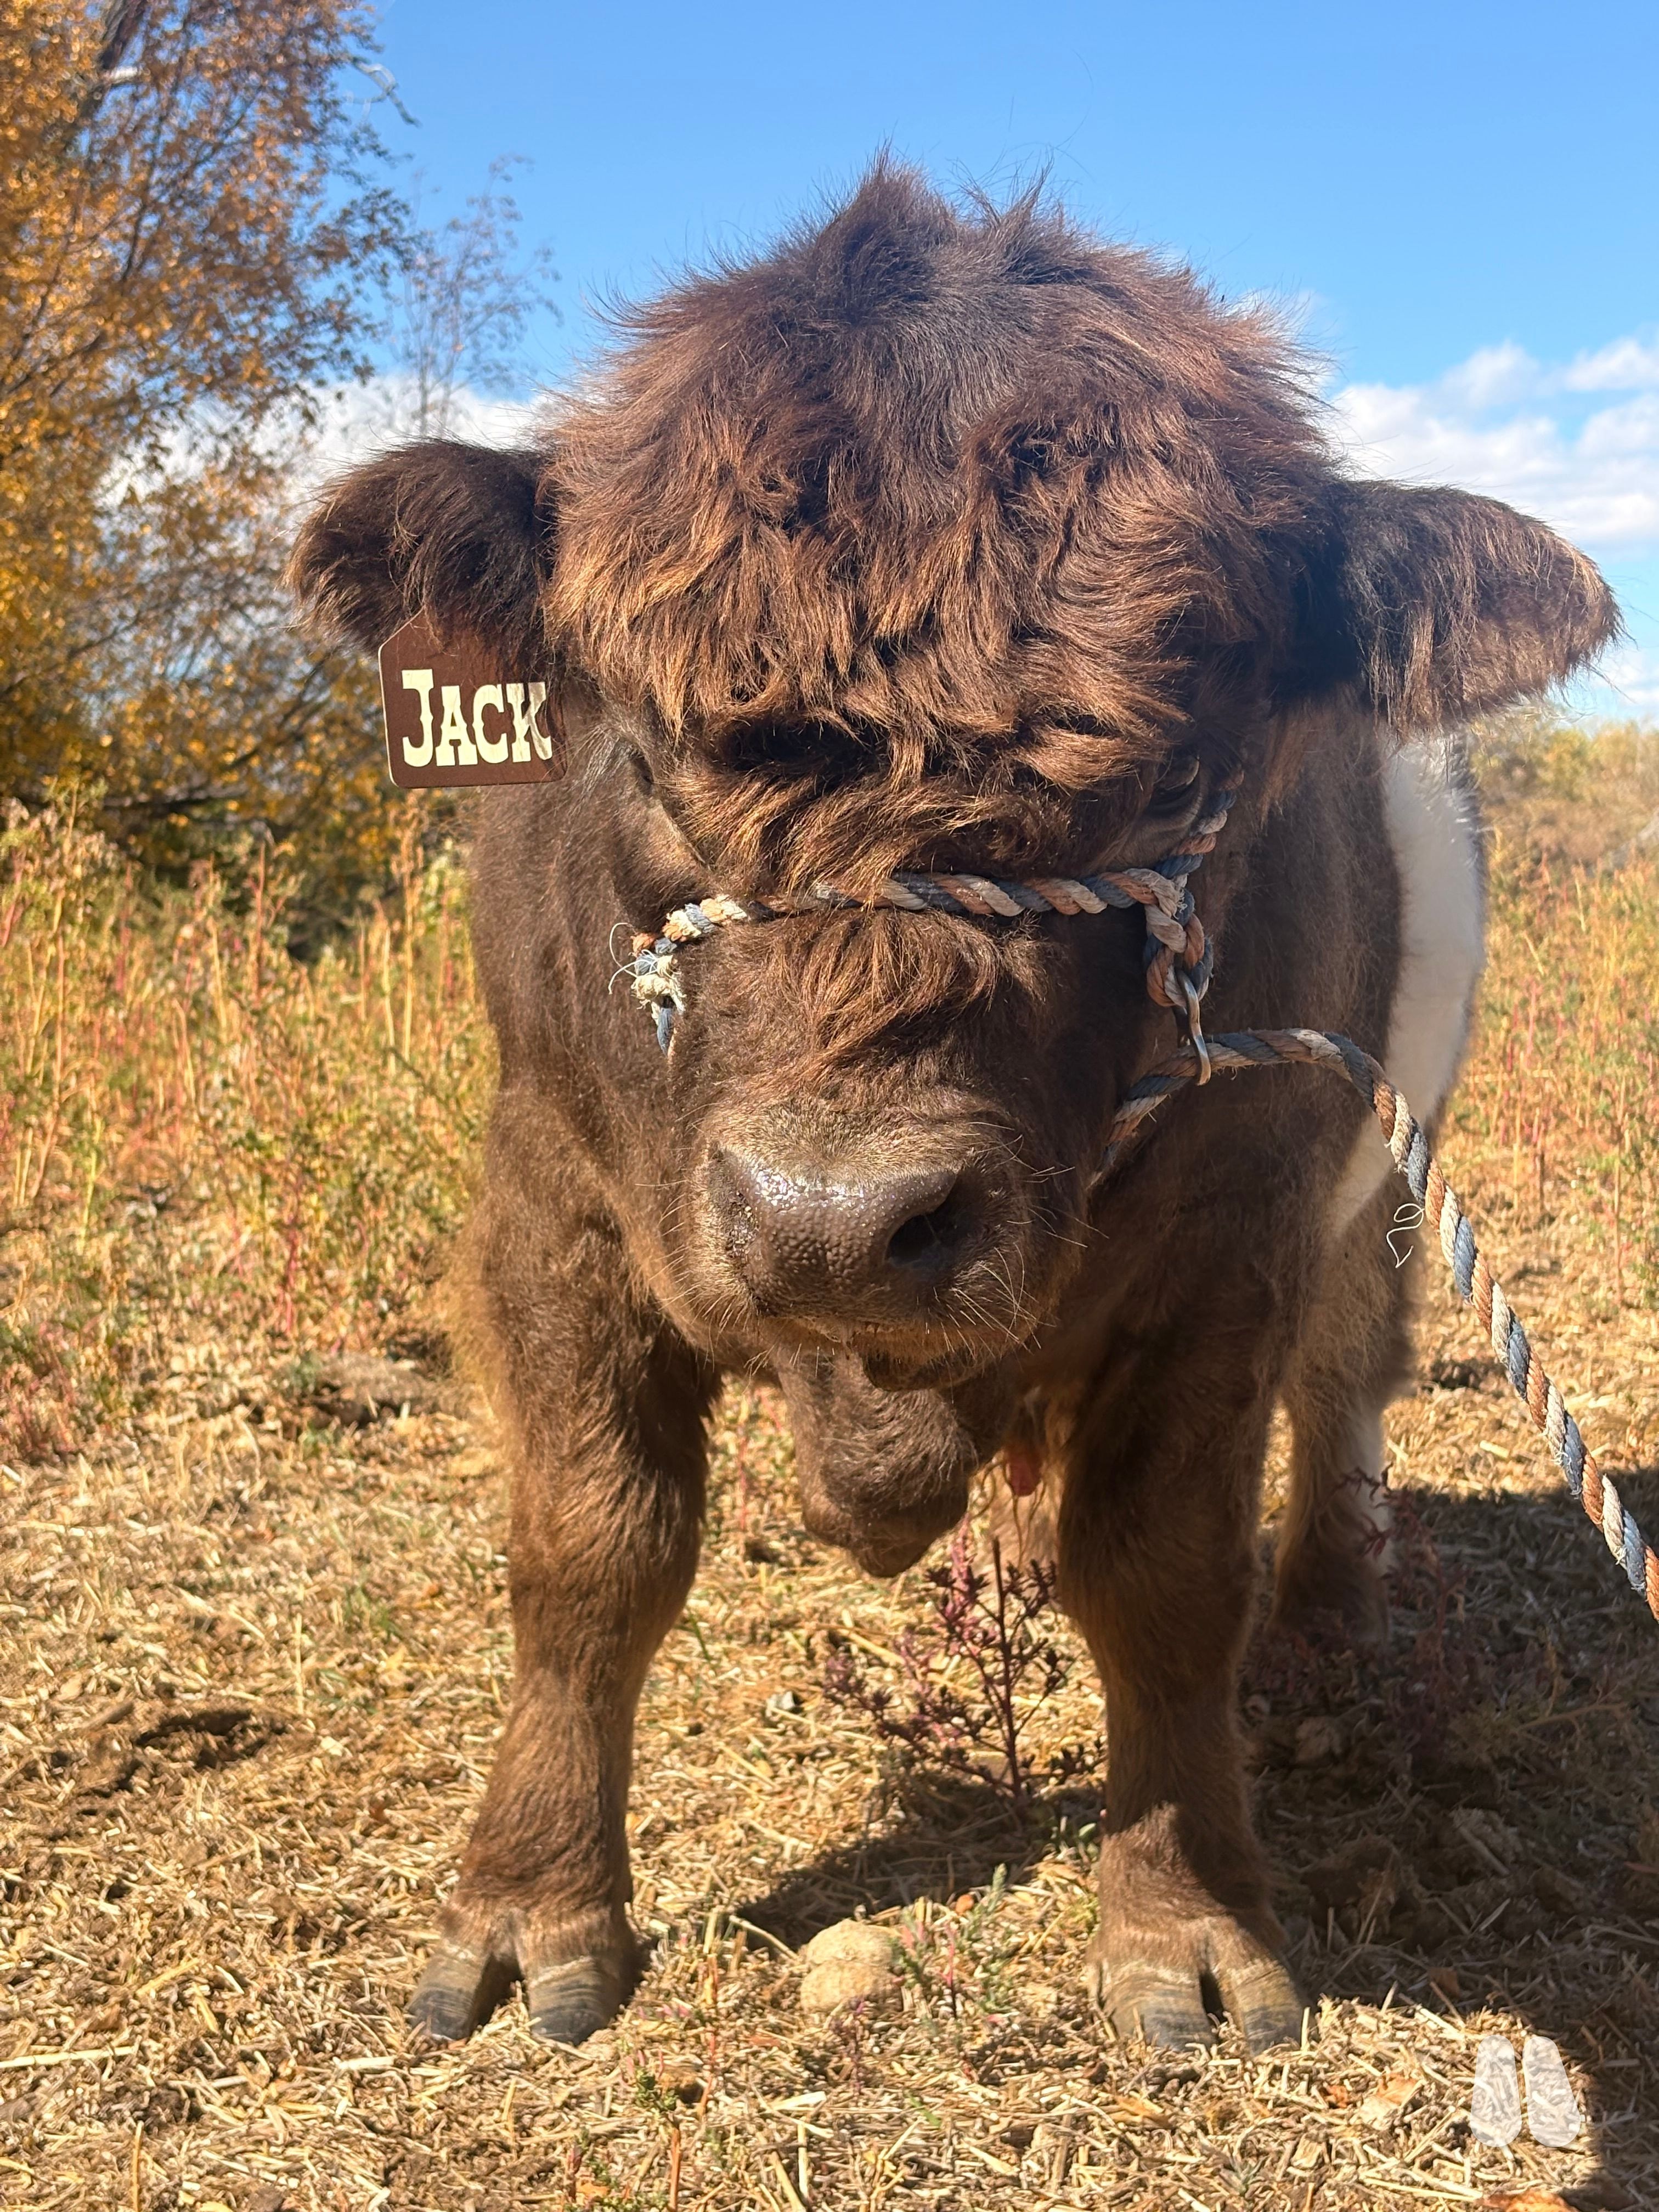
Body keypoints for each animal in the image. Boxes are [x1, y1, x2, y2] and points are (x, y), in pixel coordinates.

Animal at [289, 165, 1616, 2053]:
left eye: (1182, 773)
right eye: (644, 748)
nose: (836, 1219)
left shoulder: (1235, 1239)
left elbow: (1164, 1570)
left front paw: (1186, 1932)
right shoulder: (551, 1196)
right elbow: (590, 1550)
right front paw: (530, 1912)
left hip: (1369, 1189)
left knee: (1347, 1380)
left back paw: (1328, 1617)